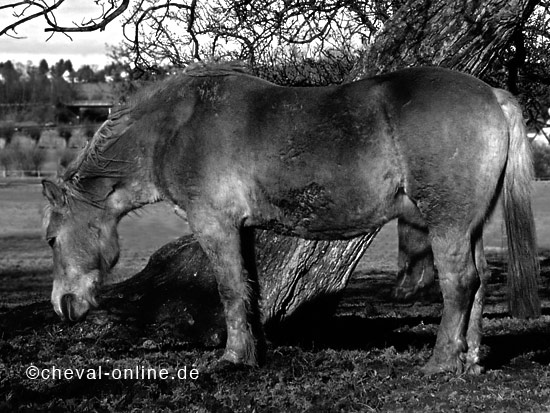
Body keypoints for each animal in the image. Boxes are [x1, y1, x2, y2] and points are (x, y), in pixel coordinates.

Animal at [42, 63, 540, 374]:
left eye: (50, 239)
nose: (63, 306)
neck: (175, 126)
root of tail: (491, 95)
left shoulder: (214, 225)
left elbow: (228, 289)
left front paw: (233, 359)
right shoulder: (241, 230)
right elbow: (248, 290)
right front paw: (254, 352)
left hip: (447, 224)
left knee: (459, 284)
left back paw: (441, 362)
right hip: (469, 226)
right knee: (480, 281)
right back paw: (470, 360)